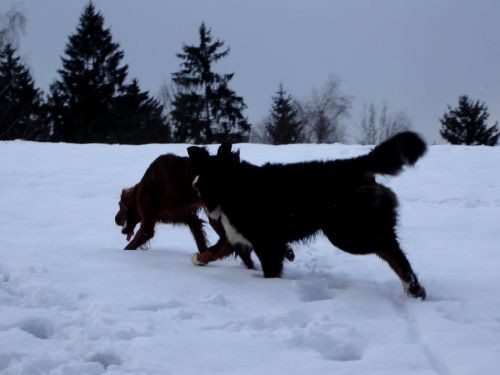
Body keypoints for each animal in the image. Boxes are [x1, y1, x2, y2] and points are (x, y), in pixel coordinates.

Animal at [189, 132, 428, 300]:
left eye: (199, 180)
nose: (192, 186)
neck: (232, 185)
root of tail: (354, 165)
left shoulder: (267, 244)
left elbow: (270, 271)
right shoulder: (239, 235)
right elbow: (214, 250)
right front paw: (198, 259)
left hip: (346, 233)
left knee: (389, 250)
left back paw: (412, 287)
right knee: (392, 248)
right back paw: (415, 290)